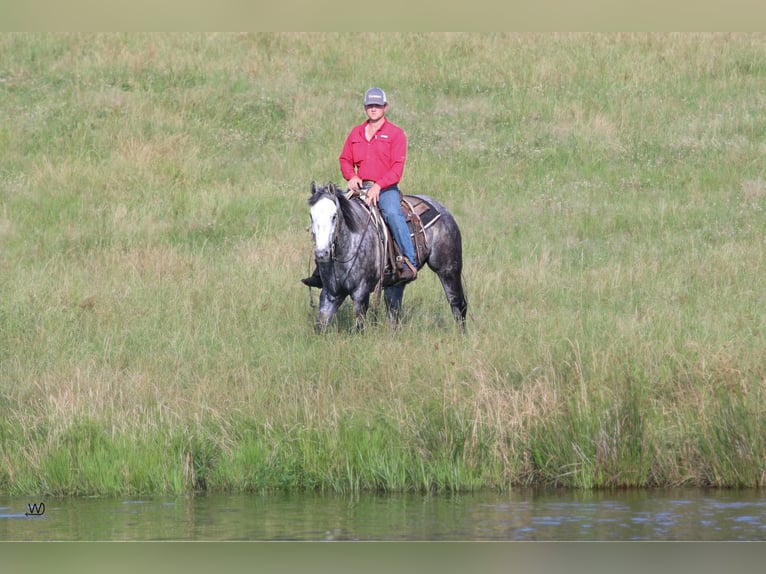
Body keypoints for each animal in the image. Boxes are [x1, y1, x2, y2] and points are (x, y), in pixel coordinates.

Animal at [306, 180, 468, 332]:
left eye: (334, 216)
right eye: (311, 216)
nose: (322, 253)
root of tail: (443, 210)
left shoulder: (361, 293)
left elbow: (359, 327)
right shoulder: (330, 294)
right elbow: (320, 325)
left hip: (448, 270)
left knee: (458, 304)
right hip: (395, 284)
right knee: (394, 314)